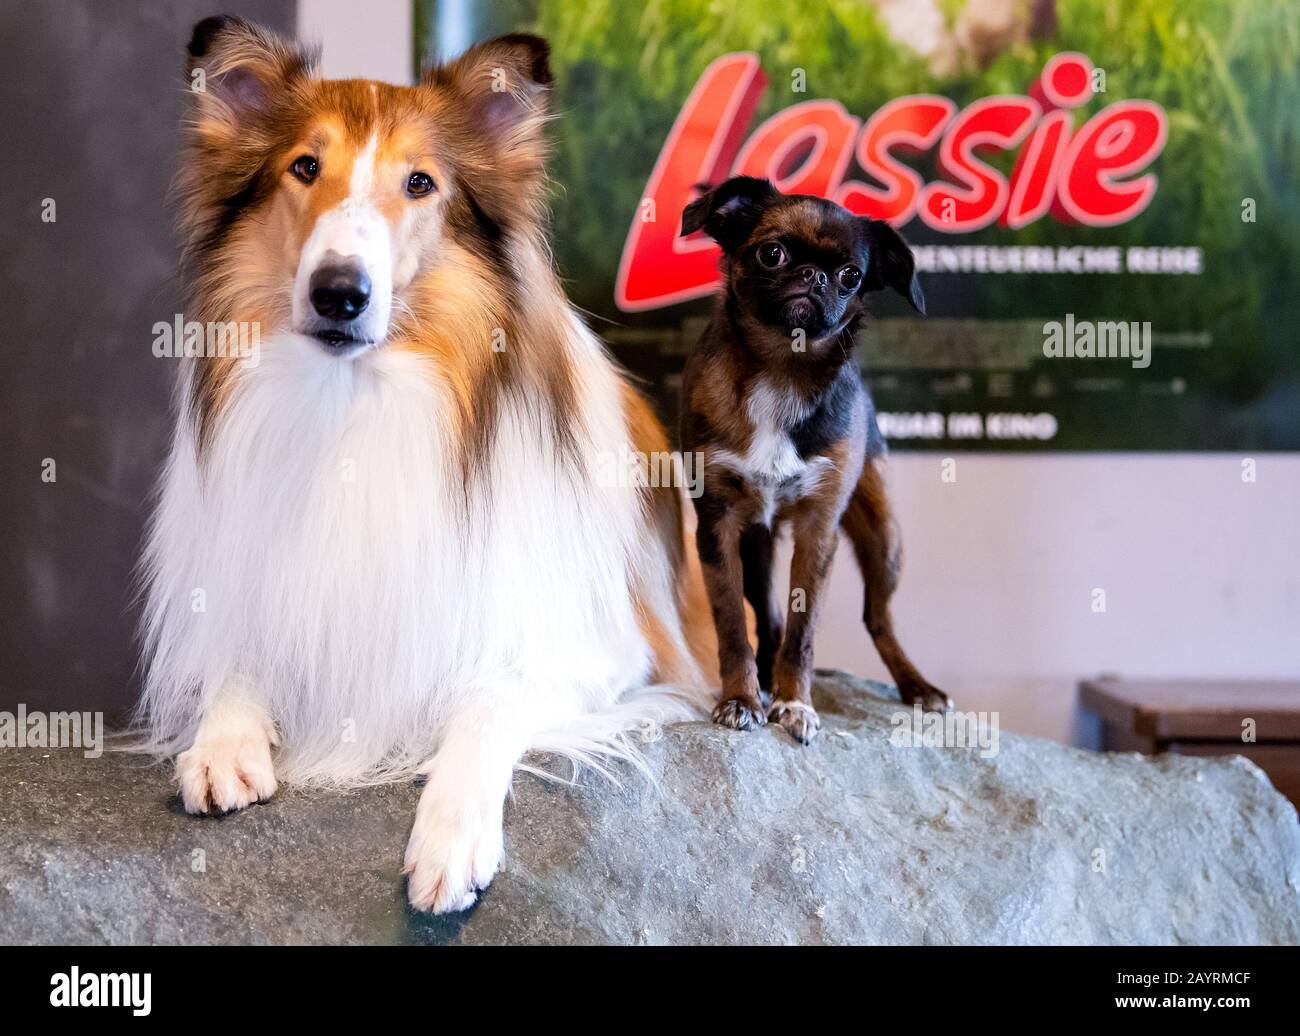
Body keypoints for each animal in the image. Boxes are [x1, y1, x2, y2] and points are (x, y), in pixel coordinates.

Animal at [138, 14, 717, 904]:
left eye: (420, 183)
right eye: (304, 167)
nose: (339, 294)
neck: (358, 409)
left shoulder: (611, 654)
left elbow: (487, 702)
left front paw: (451, 836)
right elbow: (239, 661)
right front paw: (221, 744)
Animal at [681, 178, 946, 743]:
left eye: (851, 276)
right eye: (772, 253)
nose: (815, 276)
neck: (783, 370)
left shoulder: (817, 531)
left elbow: (804, 634)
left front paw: (794, 703)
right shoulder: (718, 526)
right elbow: (732, 624)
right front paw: (740, 698)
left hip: (884, 538)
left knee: (878, 619)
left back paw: (918, 687)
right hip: (756, 543)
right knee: (767, 615)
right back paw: (762, 677)